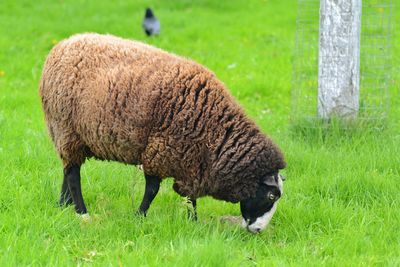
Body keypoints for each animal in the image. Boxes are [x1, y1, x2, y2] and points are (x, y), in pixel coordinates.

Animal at [39, 33, 286, 233]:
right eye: (271, 195)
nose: (258, 230)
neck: (214, 134)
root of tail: (60, 46)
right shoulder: (158, 152)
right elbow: (152, 190)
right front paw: (139, 216)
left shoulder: (192, 162)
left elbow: (190, 197)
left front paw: (193, 221)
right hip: (65, 128)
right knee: (73, 175)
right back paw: (82, 212)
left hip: (71, 137)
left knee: (69, 168)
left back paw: (63, 204)